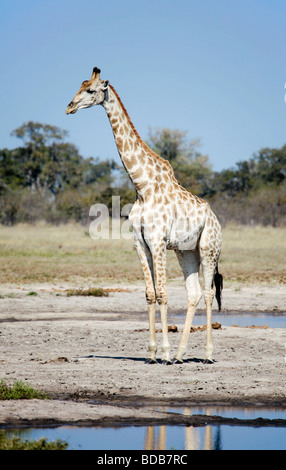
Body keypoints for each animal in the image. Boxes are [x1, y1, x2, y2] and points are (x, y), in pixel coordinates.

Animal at [67, 68, 223, 366]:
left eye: (91, 90)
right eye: (79, 87)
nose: (69, 107)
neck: (142, 186)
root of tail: (216, 220)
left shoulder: (158, 241)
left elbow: (162, 294)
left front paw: (164, 352)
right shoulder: (141, 243)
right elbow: (150, 294)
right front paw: (151, 353)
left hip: (209, 249)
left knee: (209, 293)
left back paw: (207, 355)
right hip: (187, 252)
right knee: (194, 293)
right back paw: (182, 354)